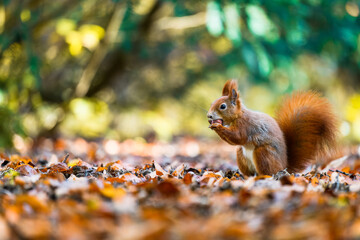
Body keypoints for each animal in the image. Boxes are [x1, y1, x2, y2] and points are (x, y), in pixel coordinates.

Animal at [207, 79, 338, 175]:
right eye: (212, 103)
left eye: (223, 106)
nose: (209, 116)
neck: (239, 116)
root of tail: (284, 167)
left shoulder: (245, 125)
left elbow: (238, 137)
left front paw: (217, 127)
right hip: (242, 155)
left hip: (263, 154)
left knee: (268, 172)